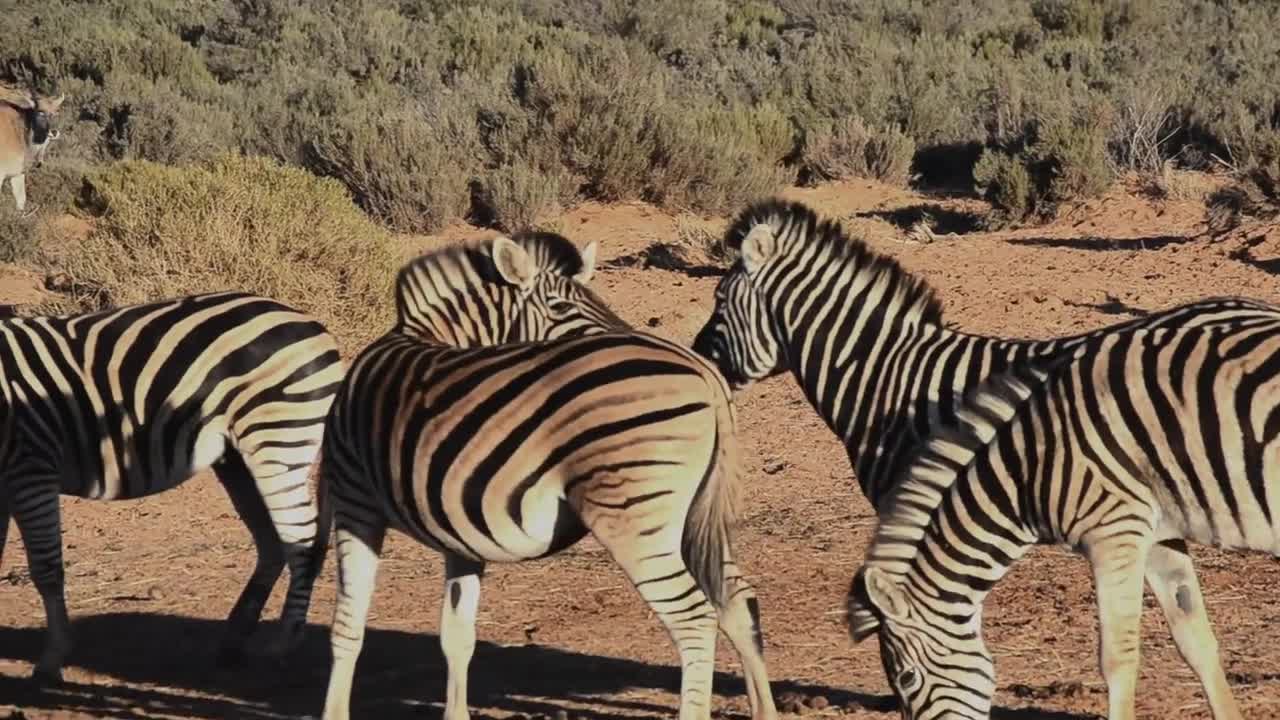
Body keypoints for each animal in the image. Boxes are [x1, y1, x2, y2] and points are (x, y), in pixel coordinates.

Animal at [0, 288, 345, 681]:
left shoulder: (31, 465)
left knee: (302, 541)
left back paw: (284, 643)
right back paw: (235, 640)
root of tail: (313, 324)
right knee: (273, 543)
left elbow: (46, 567)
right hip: (237, 459)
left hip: (278, 438)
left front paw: (52, 659)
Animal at [320, 229, 778, 717]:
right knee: (737, 600)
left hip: (634, 517)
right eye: (560, 307)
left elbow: (347, 625)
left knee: (693, 619)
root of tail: (704, 371)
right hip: (696, 515)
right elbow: (456, 635)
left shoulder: (354, 503)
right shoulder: (457, 532)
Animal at [839, 315, 1280, 720]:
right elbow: (1194, 637)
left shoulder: (1114, 532)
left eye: (907, 679)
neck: (1027, 465)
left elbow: (1117, 658)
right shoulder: (1157, 534)